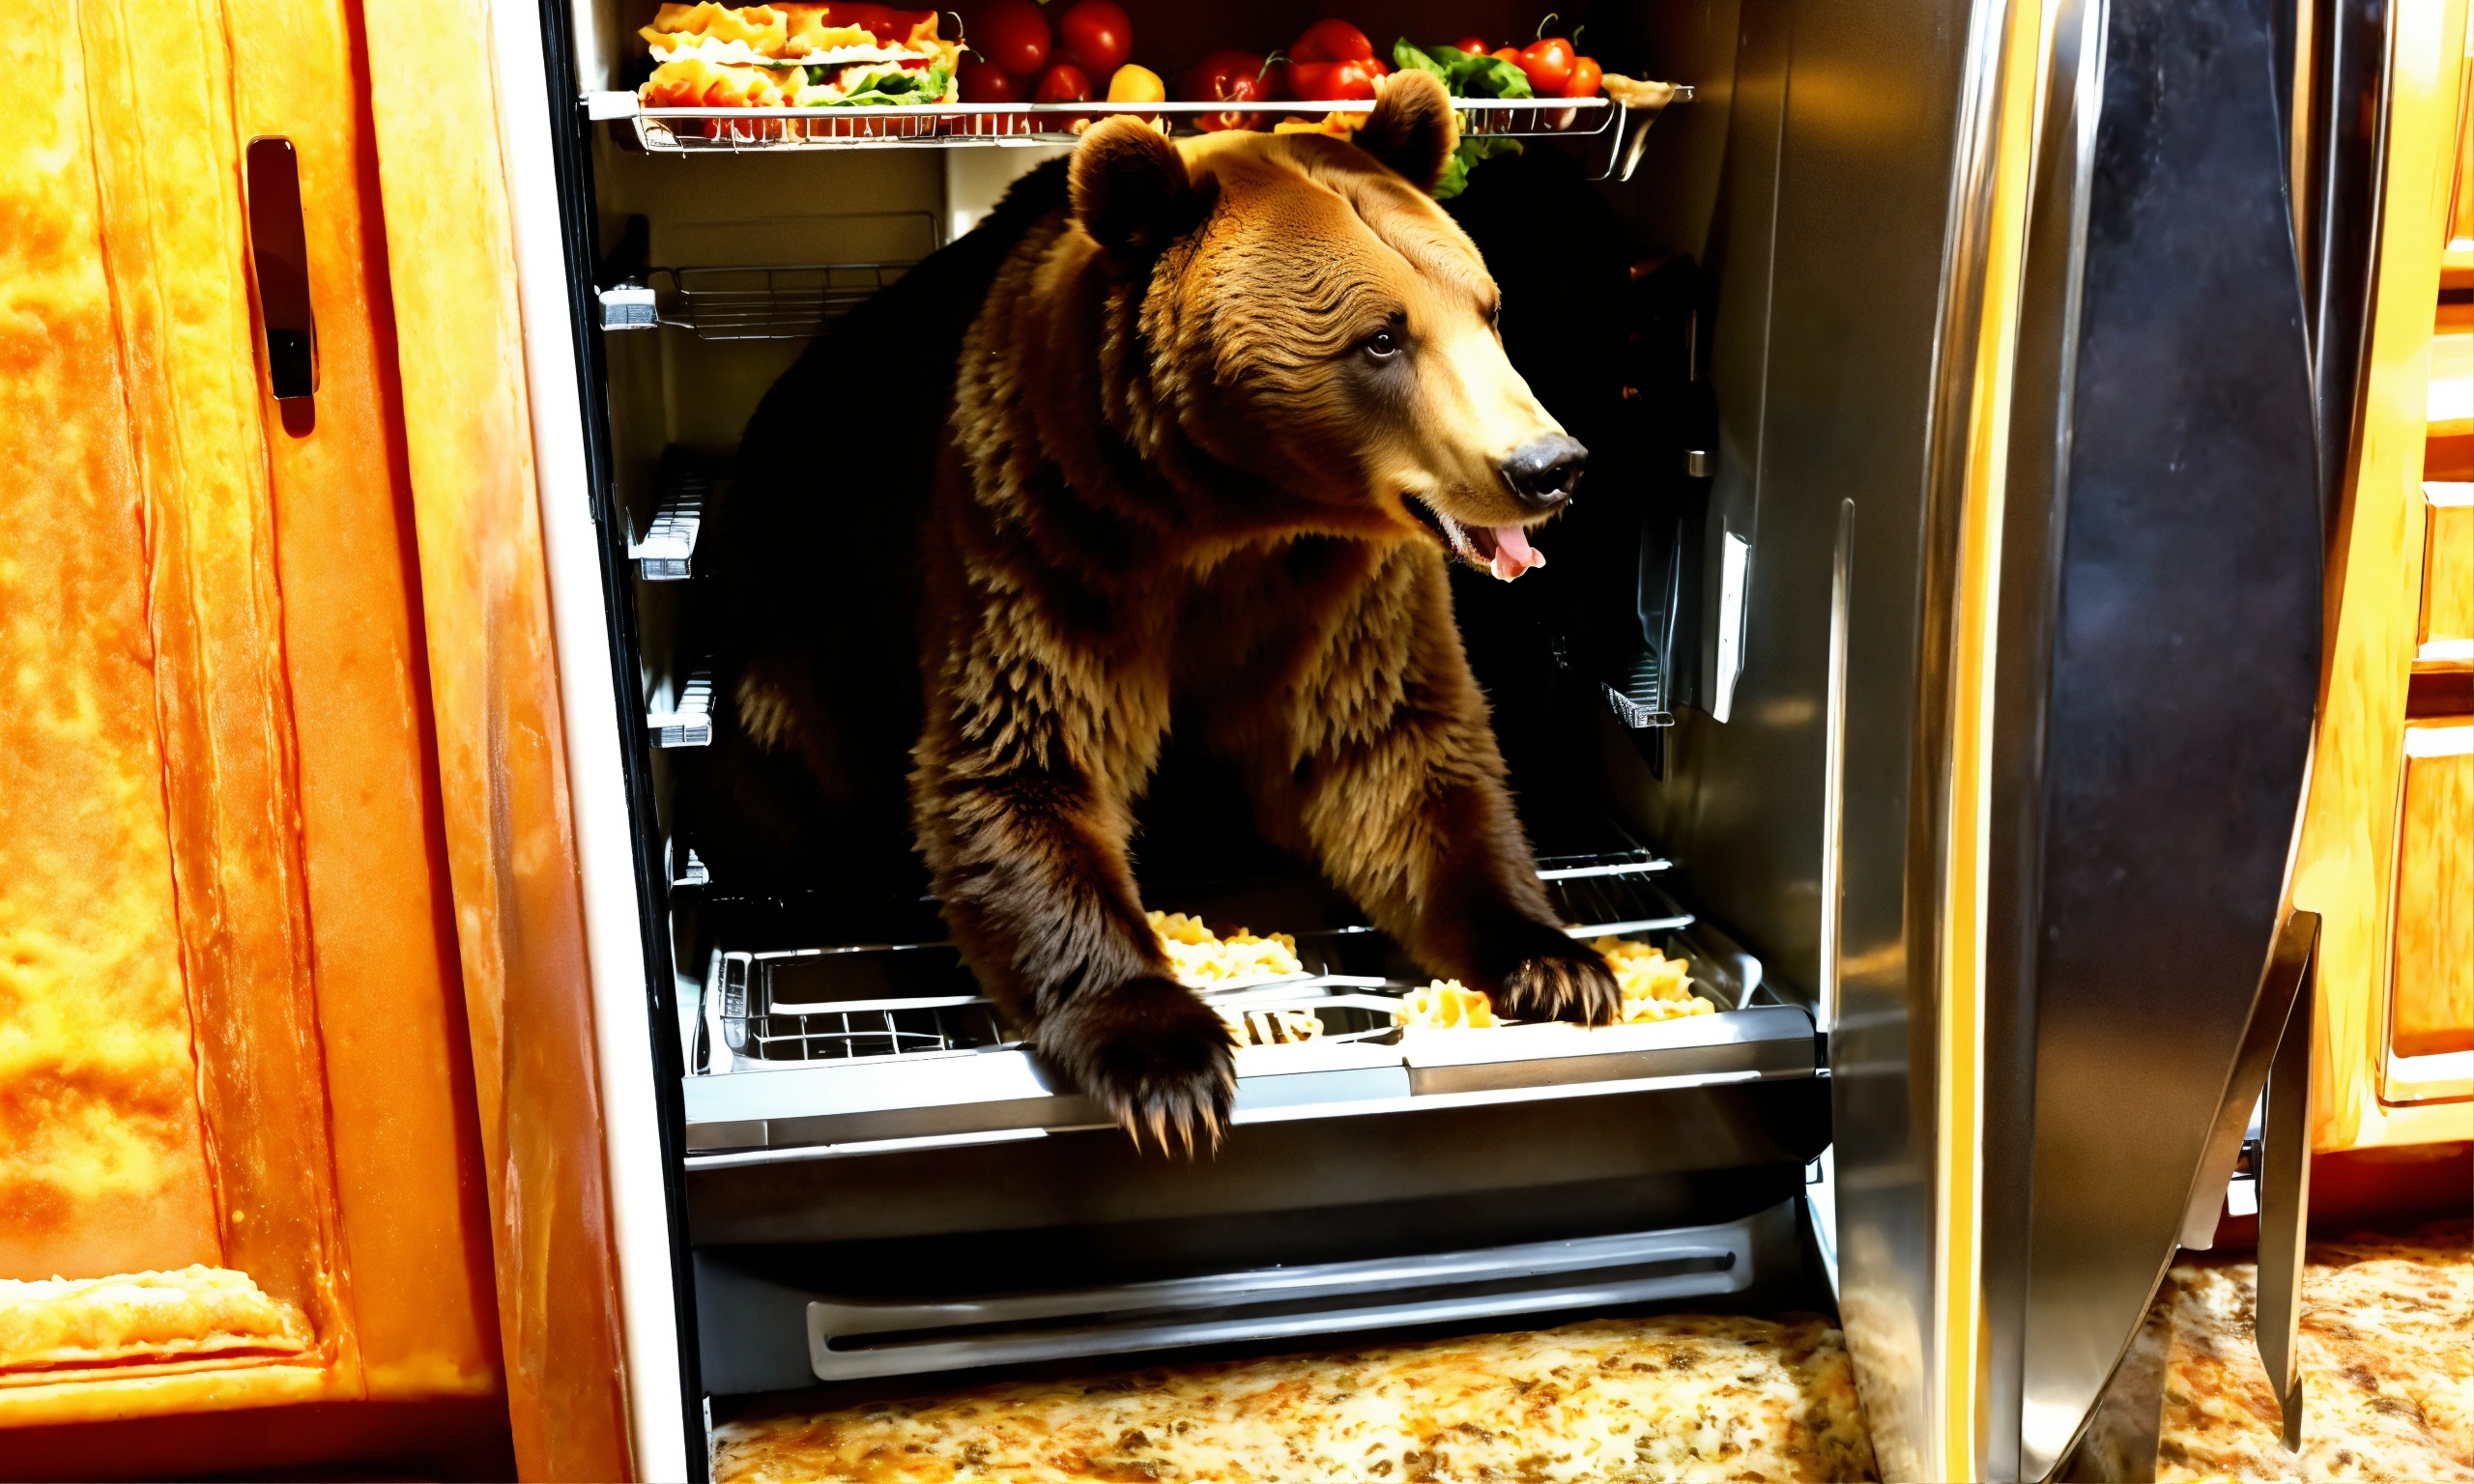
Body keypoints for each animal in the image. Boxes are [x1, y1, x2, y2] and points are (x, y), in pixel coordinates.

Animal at [691, 70, 1621, 1153]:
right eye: (1382, 337)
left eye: (1488, 309)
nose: (1548, 465)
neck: (1234, 511)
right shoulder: (1045, 524)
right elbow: (1024, 764)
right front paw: (1166, 1060)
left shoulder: (1342, 586)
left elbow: (1395, 751)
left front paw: (1559, 961)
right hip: (790, 626)